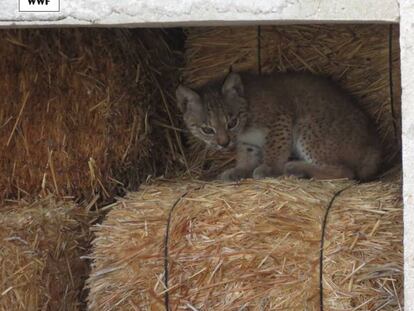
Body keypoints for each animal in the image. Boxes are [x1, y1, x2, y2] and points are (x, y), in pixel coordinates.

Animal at [175, 72, 382, 182]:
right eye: (207, 130)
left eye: (232, 122)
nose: (224, 144)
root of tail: (375, 147)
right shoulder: (247, 142)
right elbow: (247, 155)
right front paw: (240, 170)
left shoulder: (280, 118)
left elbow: (274, 147)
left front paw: (269, 168)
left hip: (307, 124)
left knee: (346, 172)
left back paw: (295, 167)